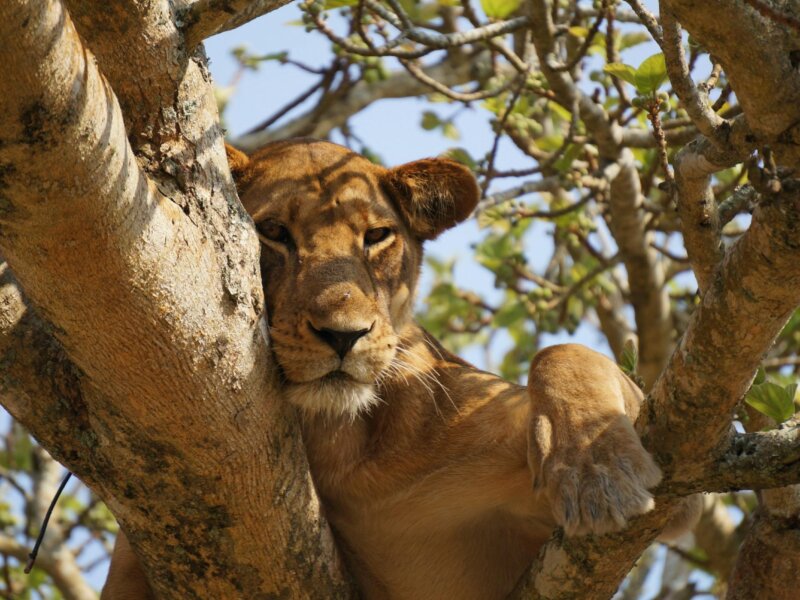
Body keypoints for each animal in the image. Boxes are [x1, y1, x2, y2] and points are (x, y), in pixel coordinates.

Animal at [102, 139, 698, 600]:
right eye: (272, 231)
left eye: (375, 236)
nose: (344, 335)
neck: (342, 445)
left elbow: (562, 354)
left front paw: (596, 469)